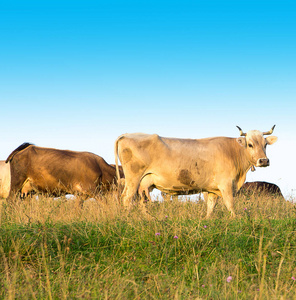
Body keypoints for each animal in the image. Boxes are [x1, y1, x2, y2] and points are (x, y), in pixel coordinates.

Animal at [115, 125, 278, 217]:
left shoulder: (212, 190)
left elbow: (210, 207)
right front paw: (235, 219)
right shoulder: (225, 184)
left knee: (141, 199)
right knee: (127, 198)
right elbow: (230, 204)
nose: (264, 161)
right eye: (250, 144)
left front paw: (208, 220)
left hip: (144, 183)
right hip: (133, 178)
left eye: (265, 144)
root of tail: (127, 134)